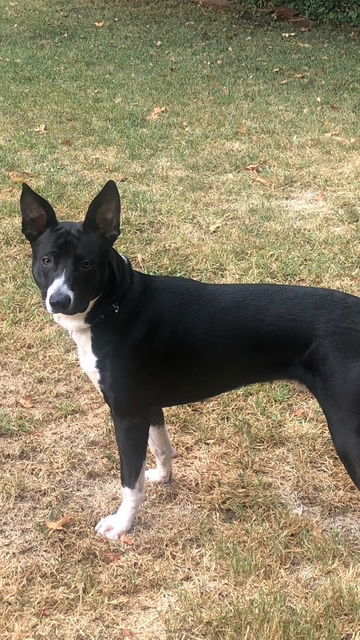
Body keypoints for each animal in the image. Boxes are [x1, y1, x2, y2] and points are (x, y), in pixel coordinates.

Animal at [21, 180, 360, 540]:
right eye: (47, 260)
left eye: (87, 264)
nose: (59, 300)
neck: (116, 305)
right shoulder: (147, 406)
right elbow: (159, 448)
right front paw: (162, 476)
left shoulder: (127, 414)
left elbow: (130, 478)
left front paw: (122, 524)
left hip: (349, 435)